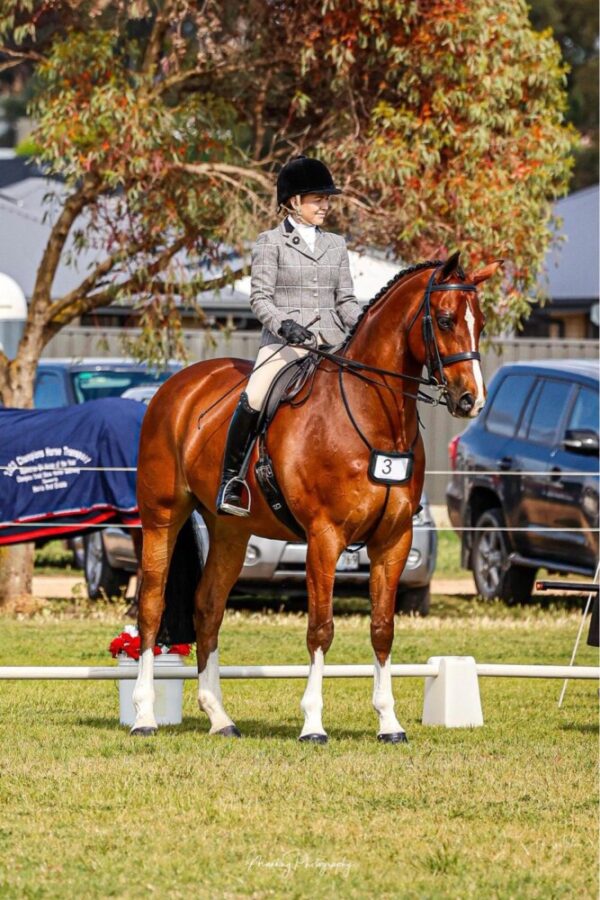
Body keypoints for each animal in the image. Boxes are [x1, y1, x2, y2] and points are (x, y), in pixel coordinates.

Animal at [132, 250, 502, 740]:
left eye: (480, 322)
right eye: (444, 320)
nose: (470, 401)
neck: (371, 415)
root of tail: (179, 384)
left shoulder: (394, 539)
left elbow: (382, 628)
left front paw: (389, 722)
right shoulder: (325, 538)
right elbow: (320, 628)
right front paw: (312, 724)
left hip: (230, 531)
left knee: (208, 607)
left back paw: (219, 718)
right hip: (162, 516)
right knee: (152, 606)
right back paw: (144, 716)